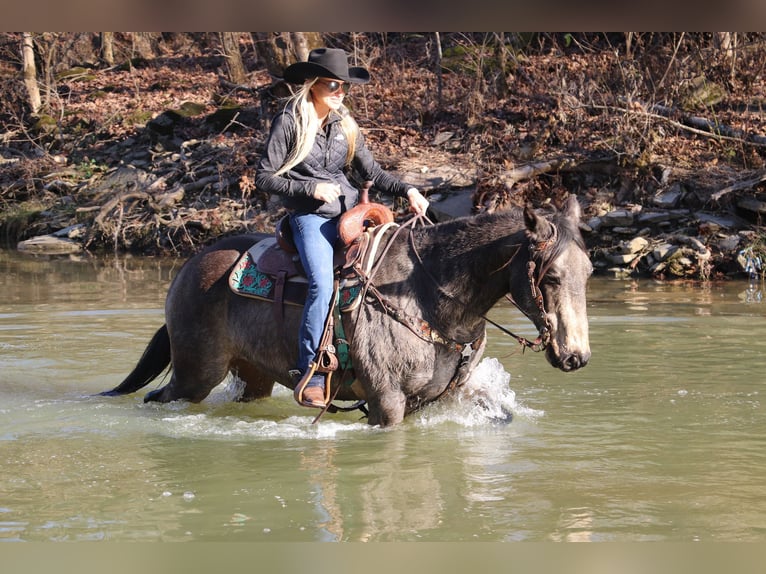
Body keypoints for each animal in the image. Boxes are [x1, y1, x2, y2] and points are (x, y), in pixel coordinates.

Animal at [102, 198, 592, 428]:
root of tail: (189, 265)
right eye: (550, 278)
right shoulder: (386, 402)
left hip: (252, 375)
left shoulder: (449, 395)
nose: (576, 357)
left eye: (587, 272)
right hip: (196, 373)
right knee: (159, 396)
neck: (427, 293)